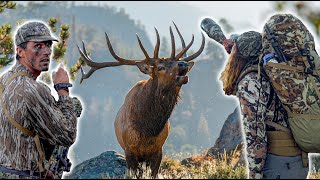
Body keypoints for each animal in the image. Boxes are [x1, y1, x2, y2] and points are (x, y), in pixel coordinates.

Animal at [77, 22, 205, 177]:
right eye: (160, 67)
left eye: (178, 62)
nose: (184, 65)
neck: (149, 128)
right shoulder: (129, 150)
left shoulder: (158, 150)